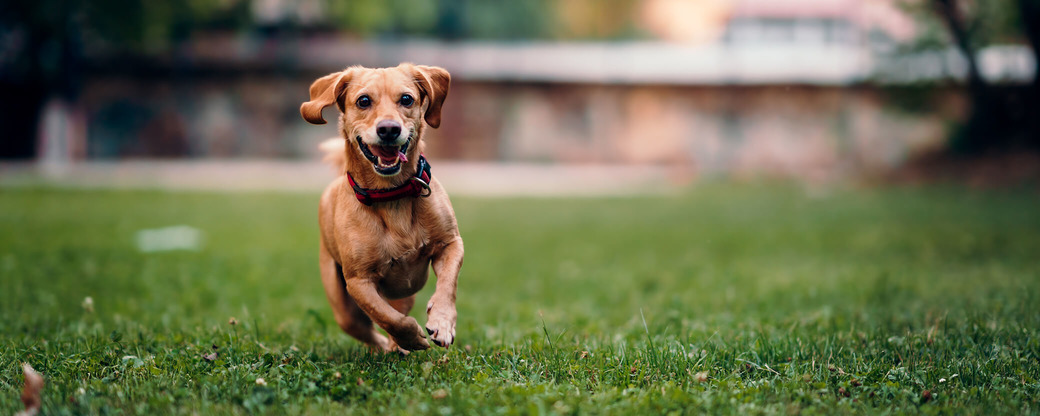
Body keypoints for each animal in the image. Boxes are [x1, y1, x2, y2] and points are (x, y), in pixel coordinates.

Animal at [301, 63, 463, 353]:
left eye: (407, 99)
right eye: (363, 101)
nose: (389, 129)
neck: (391, 195)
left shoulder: (451, 244)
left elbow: (447, 285)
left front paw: (442, 323)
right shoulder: (358, 282)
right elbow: (389, 318)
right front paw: (412, 338)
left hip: (404, 296)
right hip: (341, 305)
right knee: (366, 328)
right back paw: (389, 348)